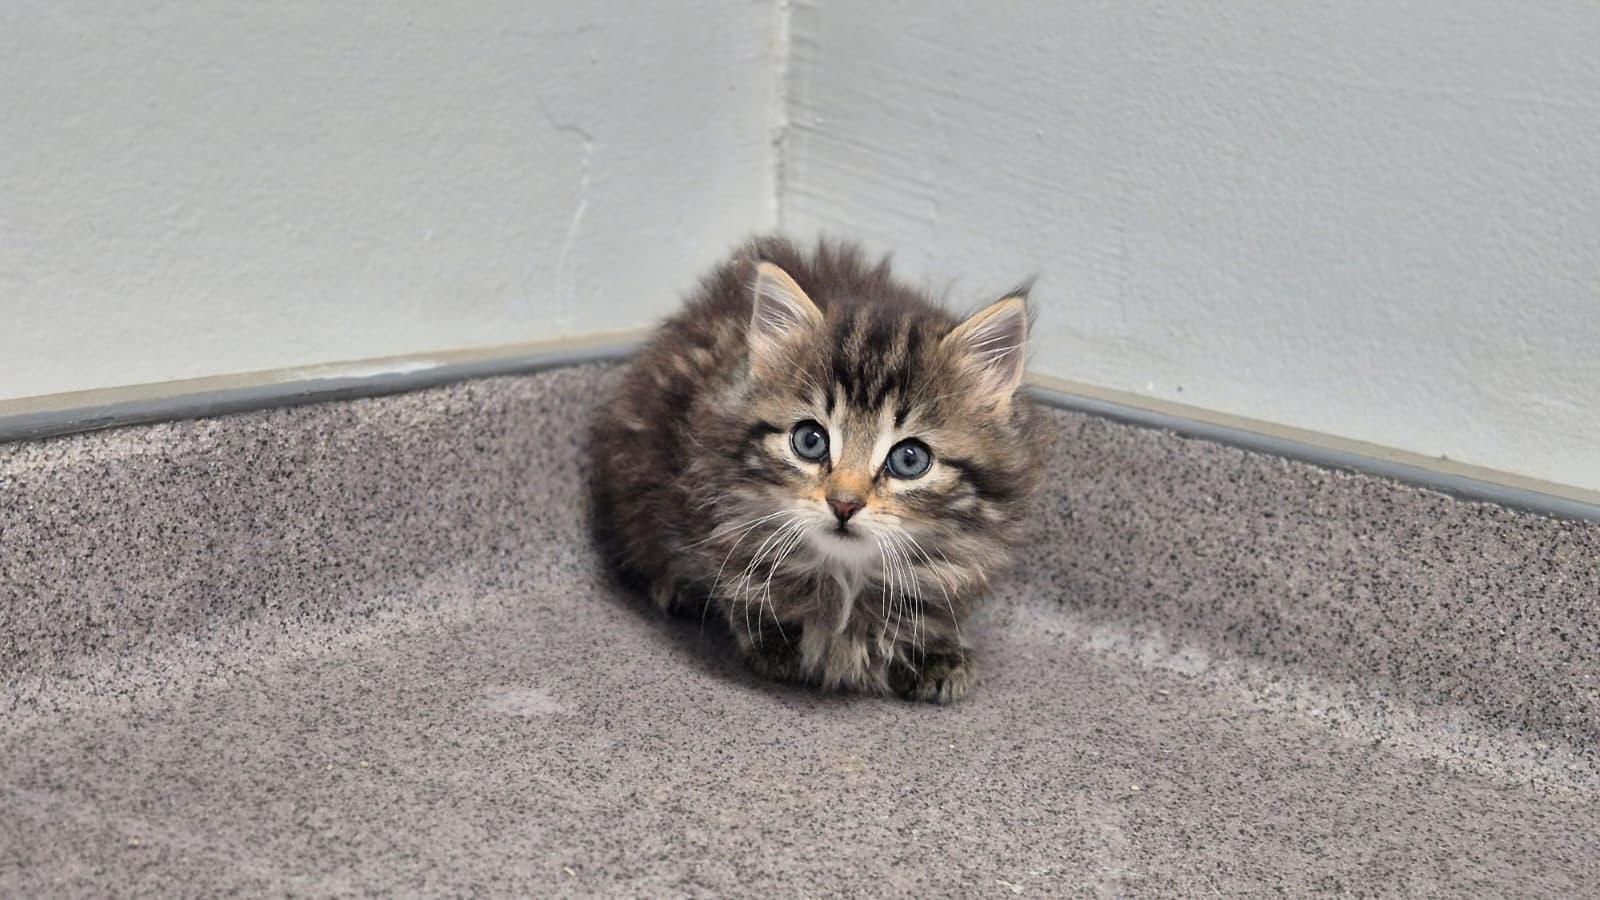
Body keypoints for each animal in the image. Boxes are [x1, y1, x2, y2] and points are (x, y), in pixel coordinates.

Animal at [589, 237, 1044, 703]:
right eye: (810, 441)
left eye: (909, 459)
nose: (844, 504)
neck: (847, 576)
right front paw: (779, 636)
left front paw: (934, 647)